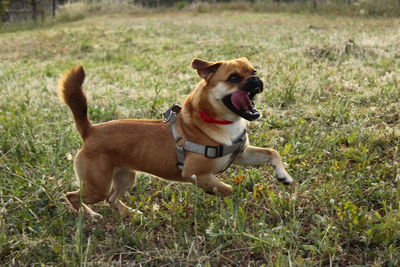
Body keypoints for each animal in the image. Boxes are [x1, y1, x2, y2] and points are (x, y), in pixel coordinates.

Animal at [57, 57, 292, 219]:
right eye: (233, 78)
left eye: (253, 71)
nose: (256, 79)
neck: (217, 122)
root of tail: (90, 130)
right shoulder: (194, 172)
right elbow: (228, 188)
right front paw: (214, 191)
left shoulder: (241, 154)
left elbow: (272, 152)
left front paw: (283, 176)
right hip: (97, 186)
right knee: (73, 196)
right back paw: (89, 215)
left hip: (125, 177)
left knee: (112, 198)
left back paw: (129, 213)